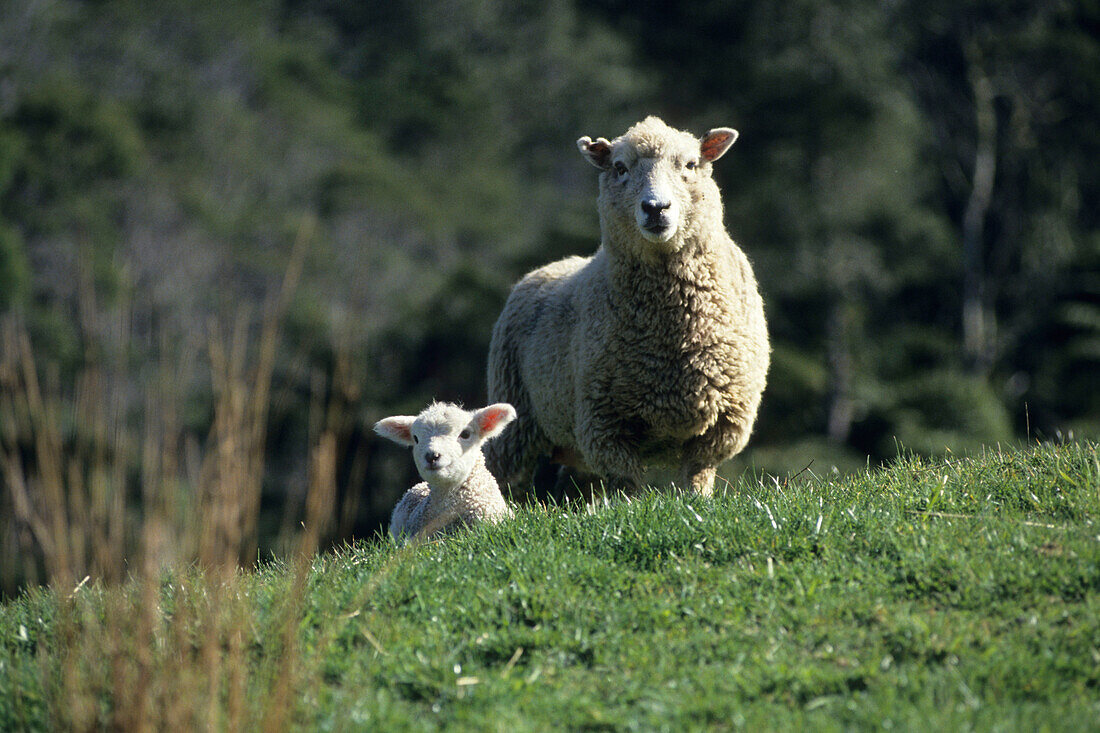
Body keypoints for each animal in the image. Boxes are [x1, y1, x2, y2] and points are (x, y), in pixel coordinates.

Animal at [486, 115, 770, 497]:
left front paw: (698, 503)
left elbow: (696, 478)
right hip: (516, 419)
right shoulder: (606, 424)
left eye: (690, 164)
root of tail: (543, 269)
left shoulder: (722, 423)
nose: (656, 208)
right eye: (620, 167)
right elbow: (628, 487)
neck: (671, 330)